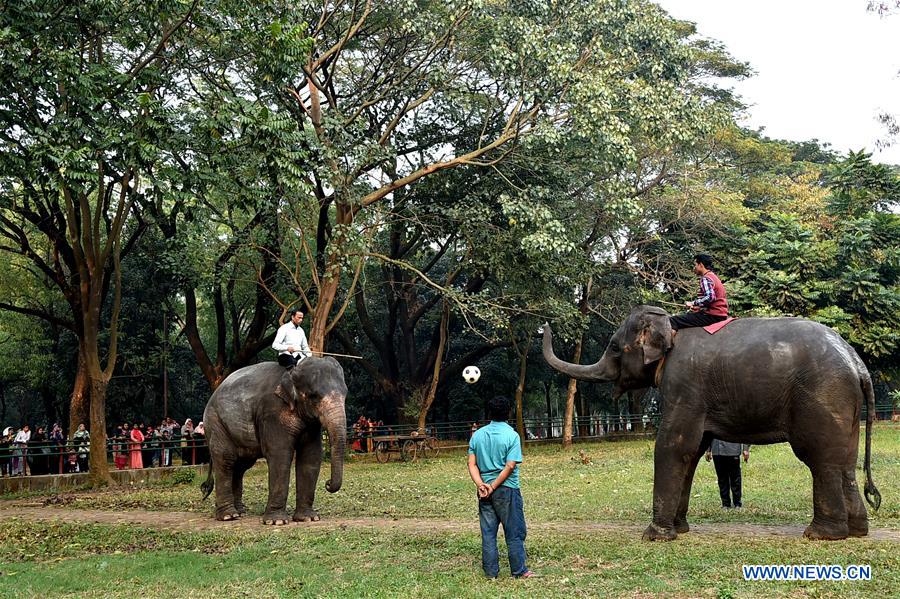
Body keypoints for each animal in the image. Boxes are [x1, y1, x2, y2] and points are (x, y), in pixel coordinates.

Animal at [200, 356, 348, 524]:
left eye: (346, 395)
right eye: (314, 396)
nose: (328, 484)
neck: (292, 372)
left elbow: (311, 456)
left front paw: (308, 518)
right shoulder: (272, 412)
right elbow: (280, 454)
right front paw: (277, 521)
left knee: (240, 466)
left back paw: (240, 512)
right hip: (215, 422)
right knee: (225, 459)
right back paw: (228, 516)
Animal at [540, 308, 880, 540]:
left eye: (613, 346)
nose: (545, 326)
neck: (670, 327)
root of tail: (857, 362)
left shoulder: (684, 383)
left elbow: (674, 445)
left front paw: (655, 536)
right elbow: (692, 452)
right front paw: (680, 530)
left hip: (822, 396)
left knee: (821, 460)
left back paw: (821, 535)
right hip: (844, 403)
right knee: (844, 462)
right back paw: (857, 531)